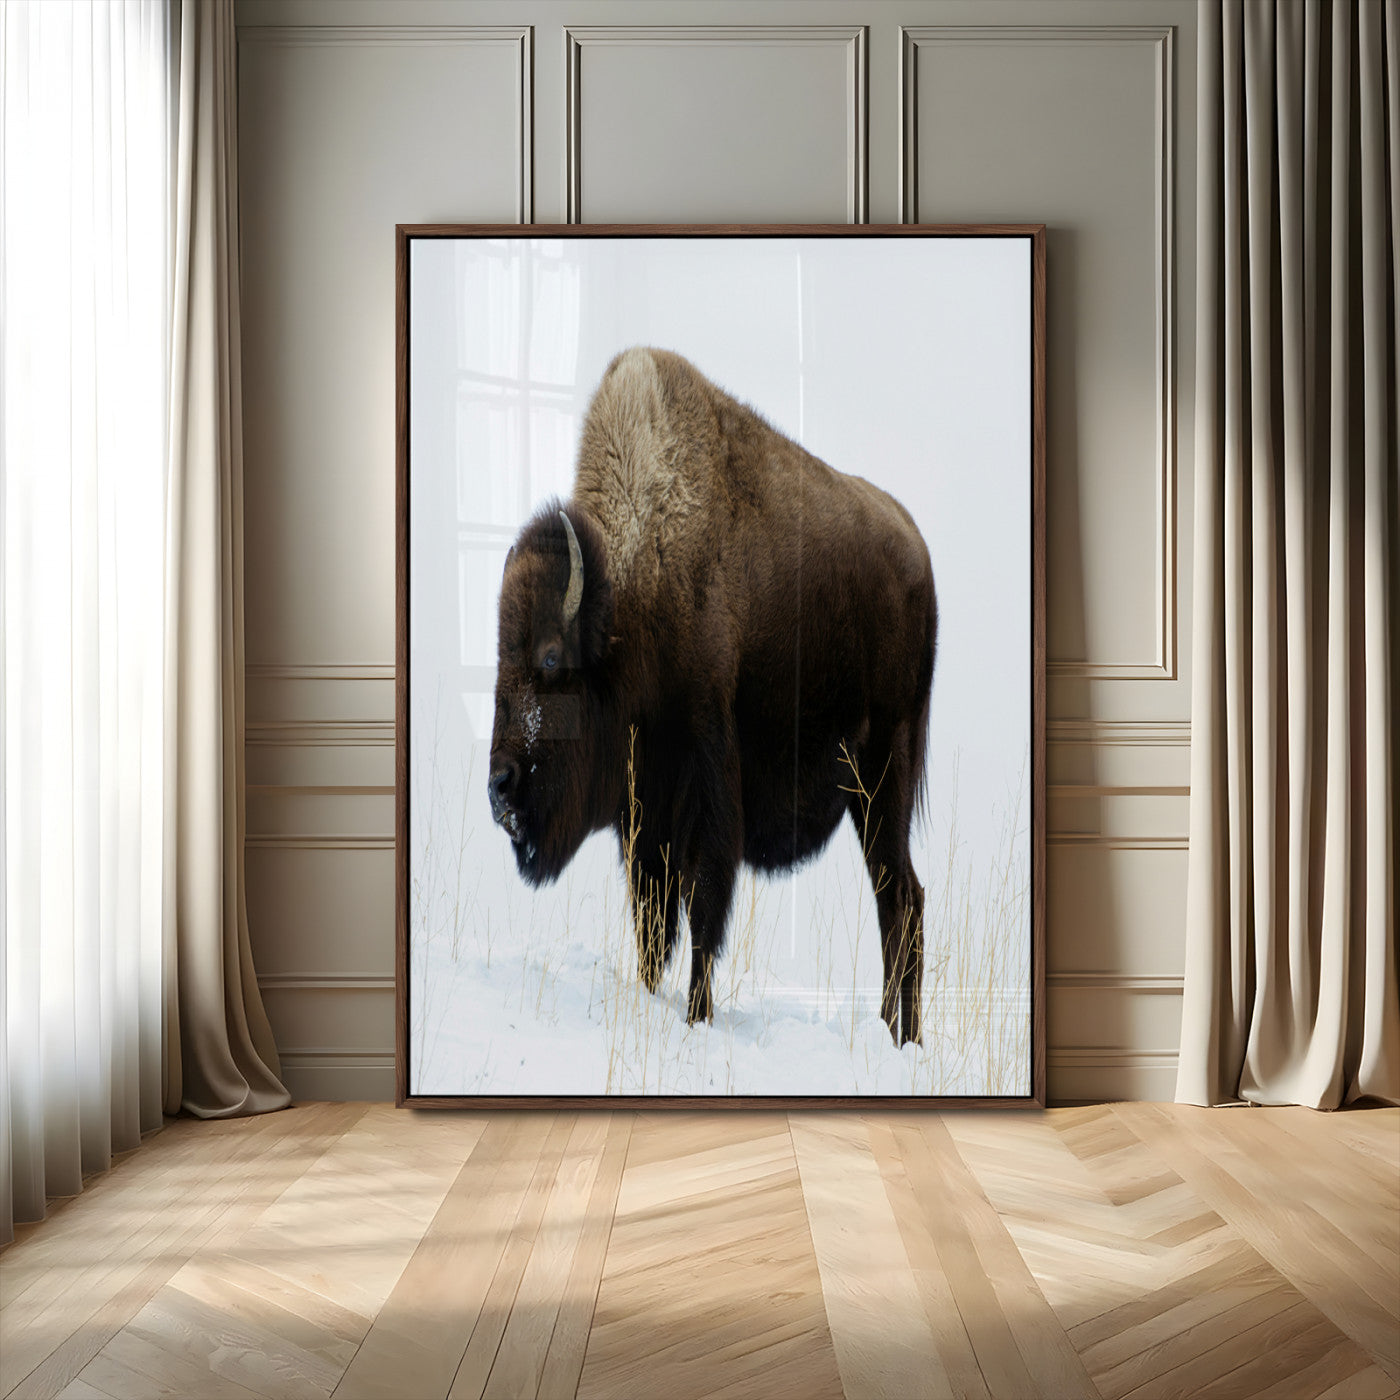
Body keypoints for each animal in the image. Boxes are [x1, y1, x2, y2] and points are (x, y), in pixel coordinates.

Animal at [487, 348, 937, 1046]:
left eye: (552, 658)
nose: (499, 786)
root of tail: (918, 550)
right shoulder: (643, 817)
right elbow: (652, 924)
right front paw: (651, 998)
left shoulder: (708, 790)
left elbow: (703, 914)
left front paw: (697, 1017)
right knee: (899, 899)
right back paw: (894, 1031)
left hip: (885, 774)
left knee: (901, 897)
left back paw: (902, 1037)